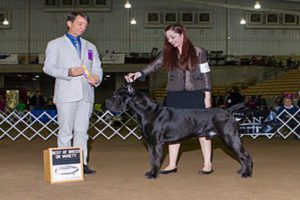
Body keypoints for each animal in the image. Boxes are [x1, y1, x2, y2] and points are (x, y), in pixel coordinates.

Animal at [105, 85, 253, 179]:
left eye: (117, 95)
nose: (106, 101)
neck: (146, 111)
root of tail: (228, 111)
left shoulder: (157, 143)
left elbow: (156, 159)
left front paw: (153, 175)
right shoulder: (151, 144)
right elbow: (152, 159)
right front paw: (150, 172)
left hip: (230, 138)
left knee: (245, 155)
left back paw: (247, 174)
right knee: (242, 156)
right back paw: (242, 170)